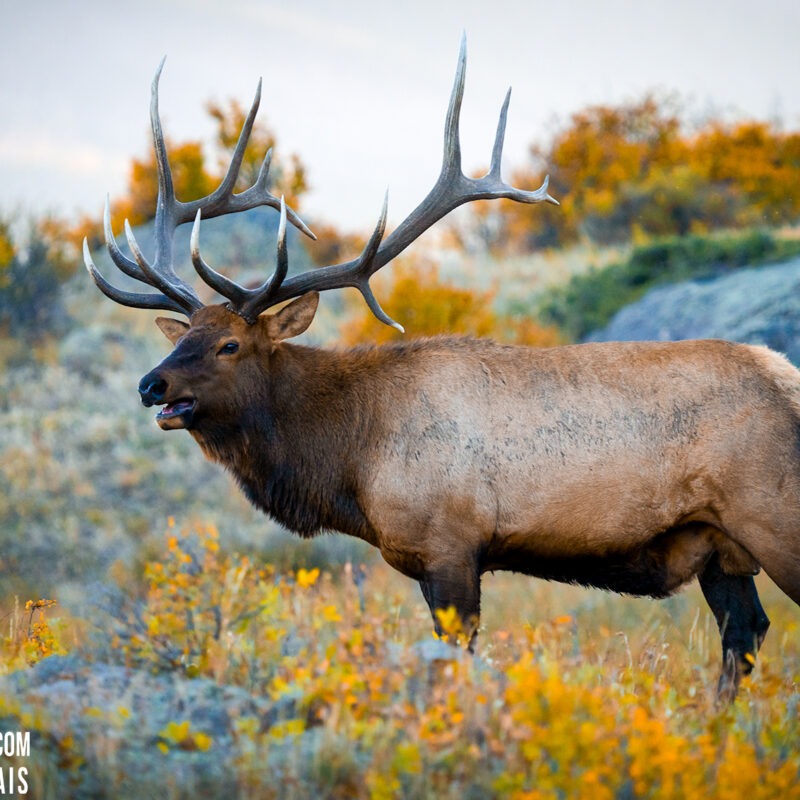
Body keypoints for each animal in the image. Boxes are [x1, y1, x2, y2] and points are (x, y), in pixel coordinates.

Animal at [84, 37, 798, 701]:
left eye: (230, 345)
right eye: (185, 335)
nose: (151, 385)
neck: (351, 456)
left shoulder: (451, 542)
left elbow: (456, 660)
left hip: (771, 516)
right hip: (719, 546)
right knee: (745, 633)